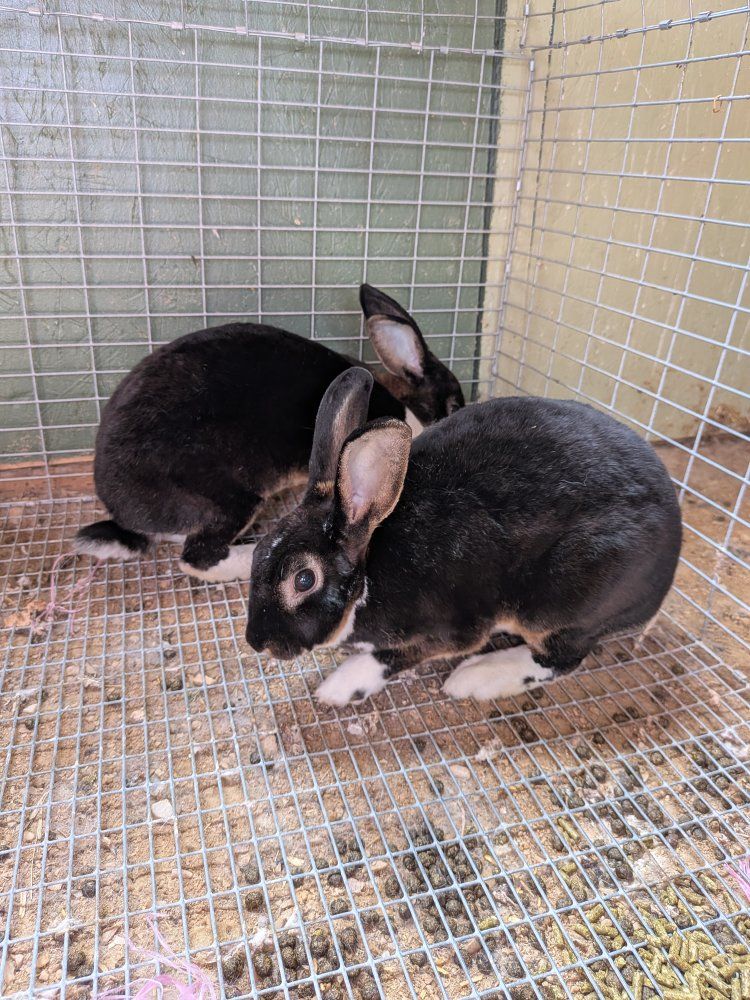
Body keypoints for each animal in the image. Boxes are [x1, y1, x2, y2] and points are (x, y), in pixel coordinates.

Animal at [245, 367, 682, 704]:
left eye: (304, 579)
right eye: (258, 552)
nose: (257, 642)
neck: (368, 570)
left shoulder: (451, 631)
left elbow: (393, 656)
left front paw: (338, 687)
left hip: (559, 604)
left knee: (561, 658)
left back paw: (475, 678)